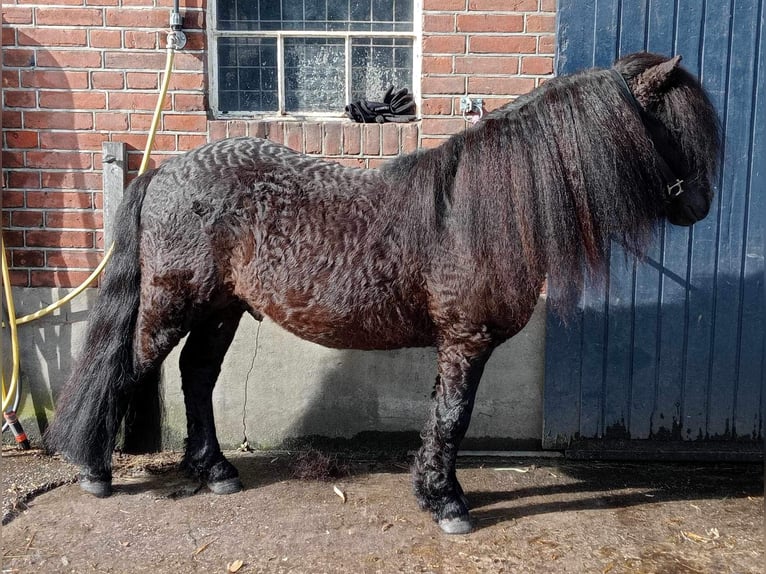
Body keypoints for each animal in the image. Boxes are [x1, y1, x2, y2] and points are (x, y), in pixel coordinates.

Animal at [46, 53, 720, 536]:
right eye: (674, 129)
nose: (701, 205)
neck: (480, 210)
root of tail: (166, 170)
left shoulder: (456, 343)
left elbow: (441, 415)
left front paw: (434, 490)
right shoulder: (467, 339)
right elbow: (454, 416)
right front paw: (448, 505)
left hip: (221, 309)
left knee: (196, 375)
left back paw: (214, 470)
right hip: (173, 304)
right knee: (131, 366)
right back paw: (96, 470)